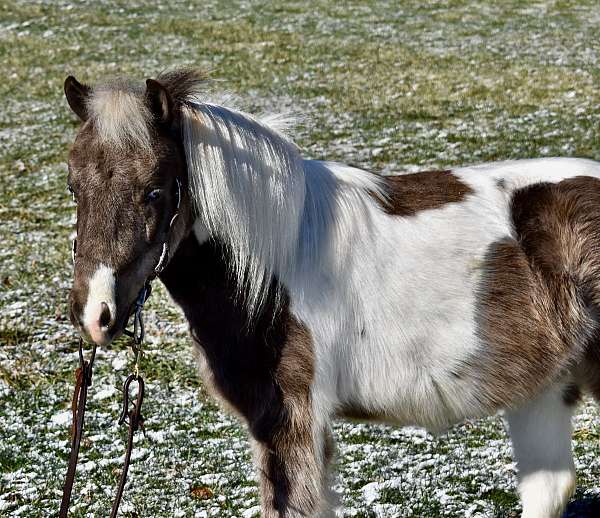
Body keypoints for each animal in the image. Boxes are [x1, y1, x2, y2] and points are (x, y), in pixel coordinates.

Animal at [63, 70, 600, 518]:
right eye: (73, 187)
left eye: (155, 190)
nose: (95, 314)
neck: (275, 262)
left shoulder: (290, 423)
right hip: (543, 387)